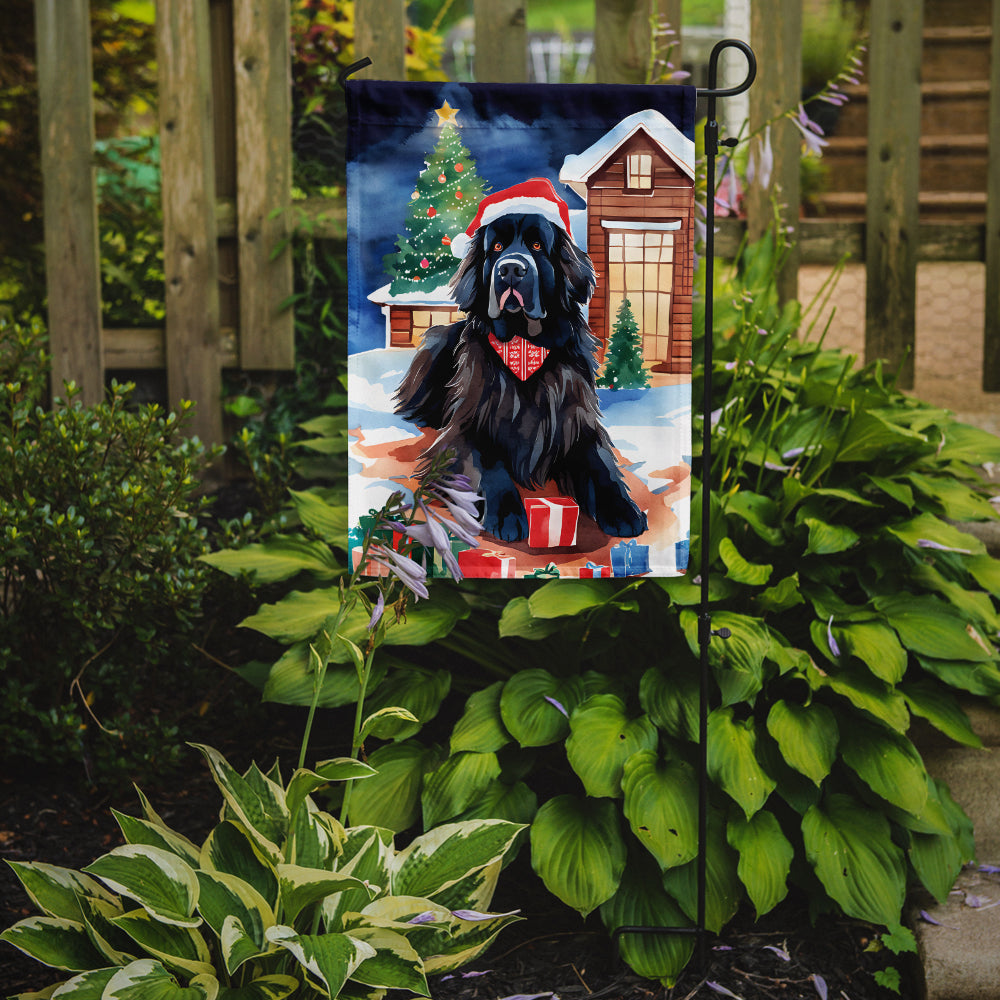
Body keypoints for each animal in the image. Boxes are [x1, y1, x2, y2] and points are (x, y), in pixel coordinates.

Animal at [394, 176, 644, 544]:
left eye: (538, 246)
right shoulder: (463, 429)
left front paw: (623, 510)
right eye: (496, 247)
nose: (511, 268)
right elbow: (487, 463)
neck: (524, 345)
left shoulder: (576, 424)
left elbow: (601, 466)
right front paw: (507, 514)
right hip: (434, 342)